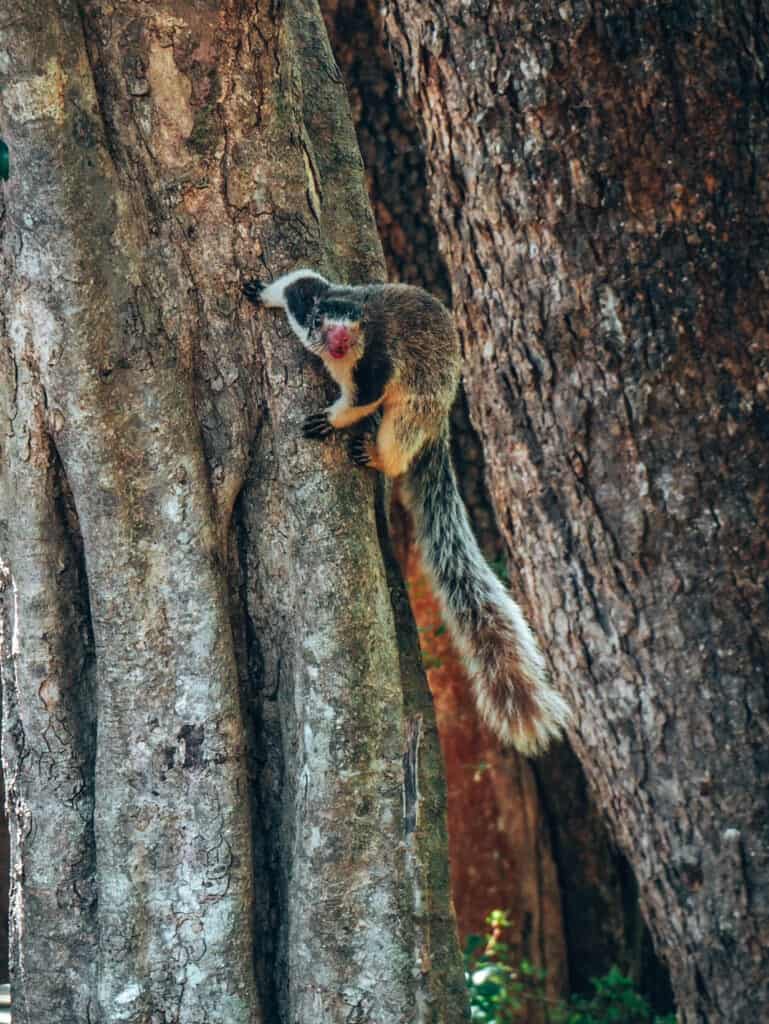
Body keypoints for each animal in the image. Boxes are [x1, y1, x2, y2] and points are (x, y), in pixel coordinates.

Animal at [243, 270, 569, 753]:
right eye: (321, 321)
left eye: (353, 325)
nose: (337, 341)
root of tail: (443, 417)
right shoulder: (310, 299)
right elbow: (299, 283)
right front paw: (261, 293)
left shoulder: (374, 368)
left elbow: (361, 400)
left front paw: (329, 420)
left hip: (415, 410)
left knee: (398, 439)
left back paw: (378, 457)